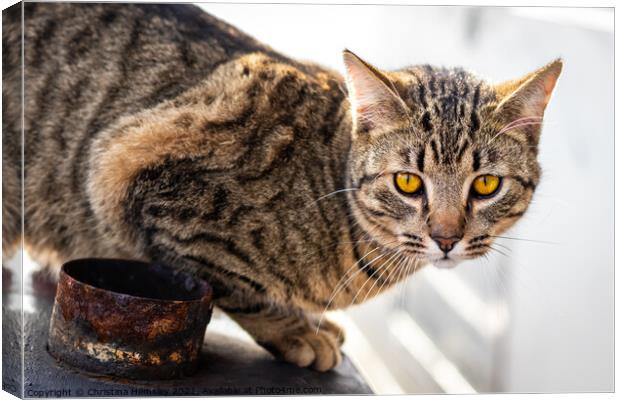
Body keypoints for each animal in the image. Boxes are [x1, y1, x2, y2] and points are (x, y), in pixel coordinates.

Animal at [1, 3, 560, 372]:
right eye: (407, 182)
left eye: (485, 185)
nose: (446, 238)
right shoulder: (130, 170)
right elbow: (236, 287)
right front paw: (296, 331)